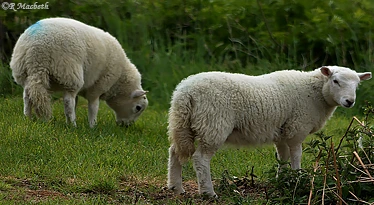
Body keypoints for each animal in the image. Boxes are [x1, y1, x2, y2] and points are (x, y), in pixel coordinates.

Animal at [10, 17, 148, 127]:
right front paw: (93, 126)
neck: (118, 82)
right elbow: (93, 106)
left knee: (27, 96)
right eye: (138, 108)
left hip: (24, 71)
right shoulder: (97, 87)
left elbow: (77, 101)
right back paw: (72, 125)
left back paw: (28, 118)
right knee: (67, 101)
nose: (127, 126)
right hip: (69, 72)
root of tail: (36, 53)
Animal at [169, 65, 372, 197]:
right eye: (335, 81)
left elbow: (282, 157)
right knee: (200, 159)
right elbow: (296, 155)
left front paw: (282, 180)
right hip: (213, 123)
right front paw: (297, 180)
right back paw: (208, 192)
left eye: (357, 85)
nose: (349, 101)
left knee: (174, 152)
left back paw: (175, 188)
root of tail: (185, 92)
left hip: (183, 124)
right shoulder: (296, 128)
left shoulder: (282, 132)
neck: (316, 93)